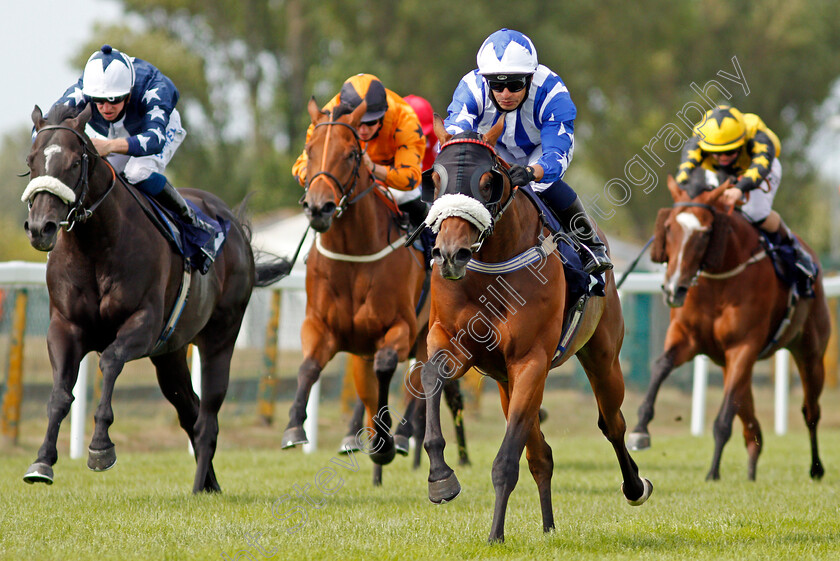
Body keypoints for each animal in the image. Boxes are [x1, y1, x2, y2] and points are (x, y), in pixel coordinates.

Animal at [21, 103, 288, 492]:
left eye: (72, 163)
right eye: (31, 160)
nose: (41, 227)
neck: (95, 247)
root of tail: (235, 228)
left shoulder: (143, 324)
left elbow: (110, 361)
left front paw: (100, 446)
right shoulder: (65, 327)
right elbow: (59, 394)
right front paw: (42, 461)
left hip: (220, 337)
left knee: (208, 414)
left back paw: (199, 485)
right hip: (170, 353)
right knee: (190, 409)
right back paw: (209, 484)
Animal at [280, 97, 466, 482]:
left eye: (351, 153)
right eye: (309, 149)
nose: (318, 207)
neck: (354, 255)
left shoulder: (399, 328)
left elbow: (386, 368)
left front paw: (384, 442)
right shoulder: (321, 326)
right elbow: (309, 367)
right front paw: (293, 427)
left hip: (431, 331)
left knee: (422, 378)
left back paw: (402, 435)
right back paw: (354, 435)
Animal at [420, 116, 656, 540]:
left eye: (488, 180)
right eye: (435, 178)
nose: (450, 253)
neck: (492, 268)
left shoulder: (530, 360)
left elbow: (506, 460)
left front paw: (495, 535)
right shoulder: (451, 342)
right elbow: (431, 375)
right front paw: (440, 478)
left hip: (603, 357)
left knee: (612, 422)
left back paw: (634, 486)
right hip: (505, 382)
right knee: (541, 454)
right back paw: (548, 526)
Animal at [628, 173, 832, 480]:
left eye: (705, 233)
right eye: (668, 228)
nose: (674, 289)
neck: (718, 281)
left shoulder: (743, 346)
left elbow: (724, 419)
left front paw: (712, 472)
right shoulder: (687, 338)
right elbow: (661, 366)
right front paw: (640, 429)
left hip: (809, 353)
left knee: (811, 411)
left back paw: (816, 467)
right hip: (729, 363)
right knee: (749, 418)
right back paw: (752, 467)